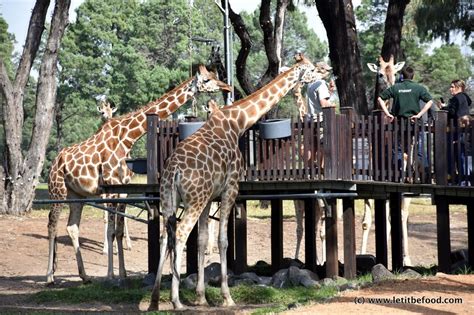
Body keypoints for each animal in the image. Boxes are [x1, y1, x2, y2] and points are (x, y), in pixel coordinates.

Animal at [45, 65, 231, 286]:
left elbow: (118, 229)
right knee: (52, 224)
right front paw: (110, 275)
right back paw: (49, 276)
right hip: (57, 190)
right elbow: (110, 230)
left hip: (77, 194)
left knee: (72, 227)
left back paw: (84, 275)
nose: (227, 87)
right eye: (207, 79)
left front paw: (123, 274)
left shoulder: (123, 188)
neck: (128, 137)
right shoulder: (111, 186)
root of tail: (54, 162)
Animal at [148, 54, 330, 312]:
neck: (237, 122)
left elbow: (203, 241)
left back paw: (155, 300)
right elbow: (224, 241)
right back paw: (176, 301)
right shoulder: (231, 188)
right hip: (192, 201)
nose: (326, 72)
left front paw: (201, 297)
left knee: (166, 236)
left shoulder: (210, 197)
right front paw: (226, 297)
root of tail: (174, 171)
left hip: (170, 199)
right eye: (312, 69)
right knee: (181, 234)